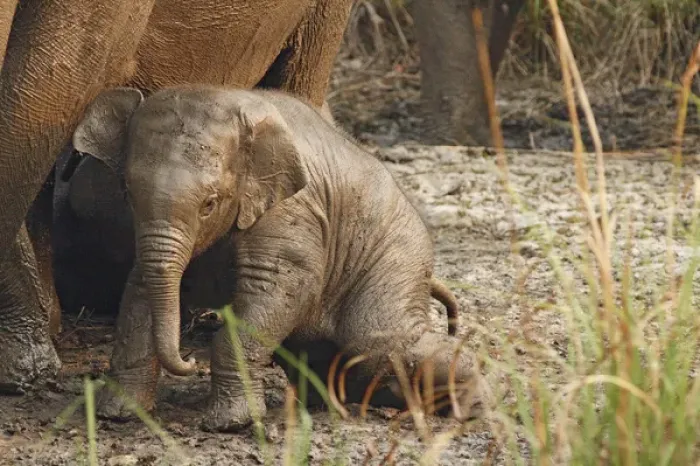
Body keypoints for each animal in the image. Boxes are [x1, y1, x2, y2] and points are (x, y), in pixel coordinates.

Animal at [69, 85, 491, 431]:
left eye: (209, 204)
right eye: (126, 191)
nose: (190, 363)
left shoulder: (291, 210)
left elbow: (281, 286)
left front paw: (232, 424)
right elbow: (138, 290)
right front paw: (118, 415)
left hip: (397, 260)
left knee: (376, 343)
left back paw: (470, 407)